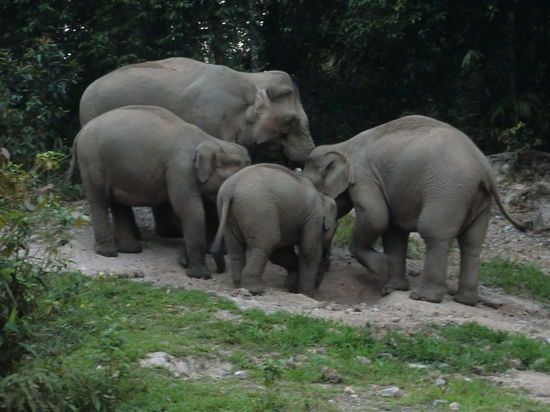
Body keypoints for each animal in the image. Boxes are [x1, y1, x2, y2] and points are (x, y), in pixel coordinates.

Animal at [74, 104, 251, 278]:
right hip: (91, 160)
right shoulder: (180, 169)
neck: (209, 140)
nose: (219, 269)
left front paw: (185, 261)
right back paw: (108, 252)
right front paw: (200, 275)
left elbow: (186, 213)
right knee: (99, 199)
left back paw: (131, 249)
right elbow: (189, 211)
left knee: (118, 202)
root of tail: (80, 133)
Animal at [211, 163, 338, 296]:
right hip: (259, 210)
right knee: (267, 242)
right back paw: (256, 290)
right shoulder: (313, 218)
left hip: (227, 212)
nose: (320, 276)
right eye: (336, 227)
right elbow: (308, 251)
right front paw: (305, 294)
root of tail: (230, 189)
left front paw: (292, 286)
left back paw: (239, 285)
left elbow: (280, 253)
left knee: (235, 248)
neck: (322, 197)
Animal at [304, 115, 528, 306]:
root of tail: (485, 168)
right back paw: (465, 301)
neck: (343, 145)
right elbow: (393, 230)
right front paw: (391, 288)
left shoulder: (364, 177)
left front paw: (382, 267)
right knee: (472, 242)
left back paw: (424, 297)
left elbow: (376, 218)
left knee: (434, 233)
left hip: (448, 193)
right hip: (480, 200)